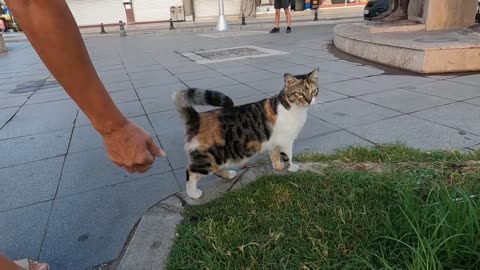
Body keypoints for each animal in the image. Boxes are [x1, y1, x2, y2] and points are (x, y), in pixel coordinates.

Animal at [172, 67, 318, 198]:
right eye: (299, 93)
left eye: (314, 90)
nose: (309, 100)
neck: (292, 108)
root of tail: (196, 117)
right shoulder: (286, 140)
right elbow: (288, 155)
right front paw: (292, 168)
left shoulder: (275, 141)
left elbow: (274, 154)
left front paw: (278, 166)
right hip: (211, 155)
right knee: (191, 171)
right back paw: (194, 194)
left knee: (213, 169)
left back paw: (229, 175)